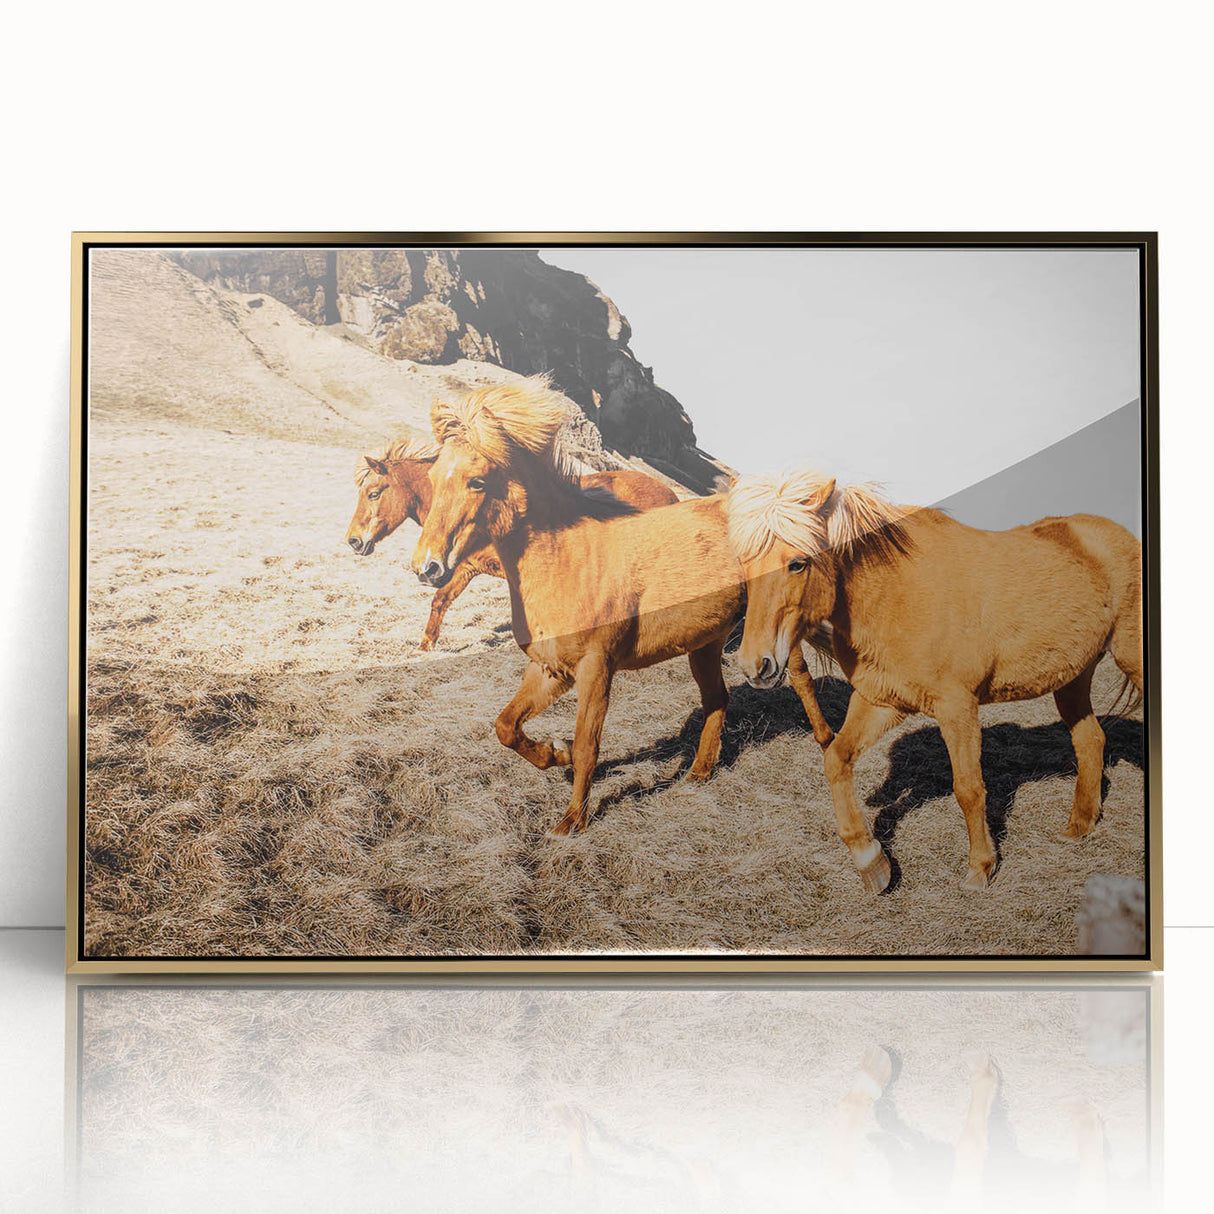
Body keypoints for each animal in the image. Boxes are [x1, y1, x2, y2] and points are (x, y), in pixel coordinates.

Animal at [346, 435, 679, 650]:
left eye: (373, 493)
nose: (353, 541)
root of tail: (669, 494)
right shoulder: (466, 568)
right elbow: (441, 600)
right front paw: (425, 647)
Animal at [410, 376, 835, 835]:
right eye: (431, 476)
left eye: (477, 481)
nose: (426, 567)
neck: (570, 559)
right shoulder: (550, 669)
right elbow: (506, 727)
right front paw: (554, 753)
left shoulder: (596, 669)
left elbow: (588, 745)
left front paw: (572, 821)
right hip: (704, 643)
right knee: (717, 699)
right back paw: (699, 773)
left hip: (772, 633)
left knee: (800, 678)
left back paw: (827, 741)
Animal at [727, 469, 1143, 894]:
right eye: (744, 564)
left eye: (797, 563)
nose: (755, 665)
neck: (896, 593)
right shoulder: (881, 701)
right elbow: (835, 759)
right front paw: (871, 861)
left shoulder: (957, 707)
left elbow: (969, 788)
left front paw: (980, 869)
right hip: (1072, 678)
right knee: (1091, 740)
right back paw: (1078, 827)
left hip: (1132, 659)